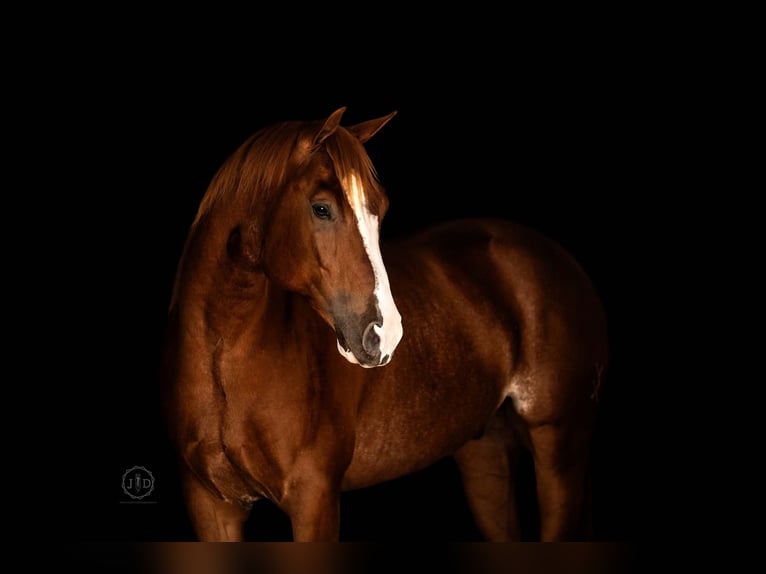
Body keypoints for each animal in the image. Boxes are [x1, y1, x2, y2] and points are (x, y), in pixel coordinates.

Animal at [160, 107, 609, 541]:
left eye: (380, 208)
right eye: (321, 208)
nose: (384, 334)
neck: (225, 358)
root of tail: (560, 260)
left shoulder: (314, 498)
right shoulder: (211, 506)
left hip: (558, 445)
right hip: (485, 452)